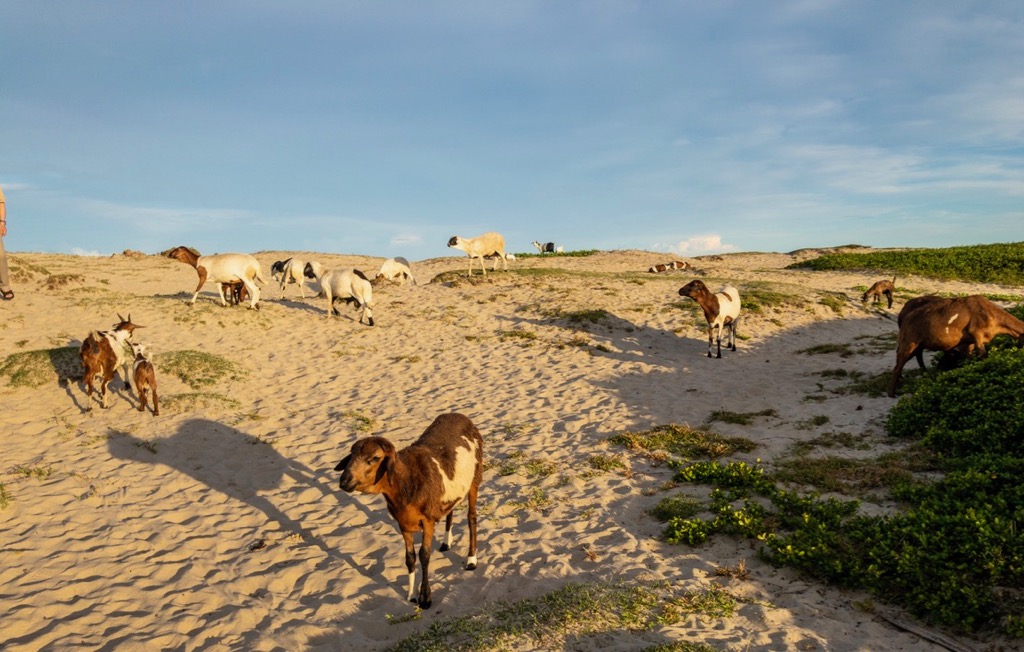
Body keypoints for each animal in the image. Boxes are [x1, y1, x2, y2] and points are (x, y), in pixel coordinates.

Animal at [331, 411, 483, 610]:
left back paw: (471, 560)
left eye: (374, 458)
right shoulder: (403, 523)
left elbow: (424, 555)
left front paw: (425, 598)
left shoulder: (427, 520)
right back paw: (446, 543)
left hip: (475, 478)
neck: (406, 480)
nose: (344, 481)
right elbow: (410, 557)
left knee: (471, 516)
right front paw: (411, 595)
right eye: (351, 455)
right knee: (451, 509)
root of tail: (458, 414)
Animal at [888, 294, 1024, 397]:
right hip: (909, 340)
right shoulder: (977, 335)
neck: (994, 317)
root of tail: (905, 316)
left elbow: (969, 358)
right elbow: (983, 355)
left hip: (918, 344)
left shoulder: (969, 342)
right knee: (898, 365)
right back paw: (892, 393)